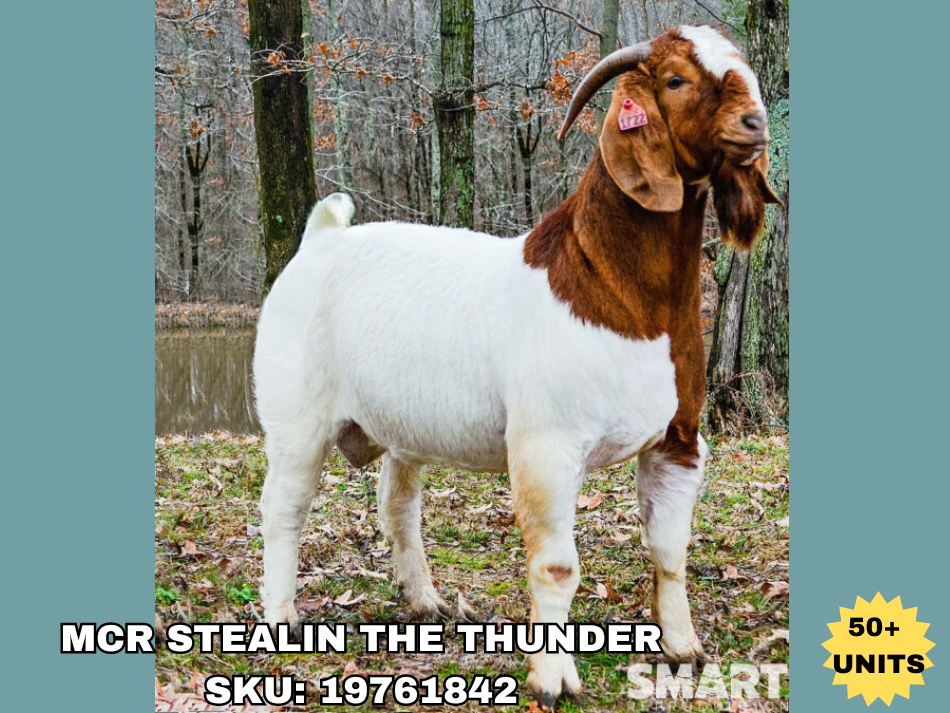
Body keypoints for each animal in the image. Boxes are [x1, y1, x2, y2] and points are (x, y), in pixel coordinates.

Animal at [253, 25, 779, 705]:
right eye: (675, 80)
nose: (754, 123)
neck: (612, 290)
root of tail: (322, 239)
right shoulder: (546, 446)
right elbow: (556, 565)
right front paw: (553, 679)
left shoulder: (679, 440)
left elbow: (669, 552)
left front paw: (684, 651)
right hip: (295, 418)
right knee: (284, 508)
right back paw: (282, 619)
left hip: (401, 425)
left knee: (397, 503)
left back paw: (425, 602)